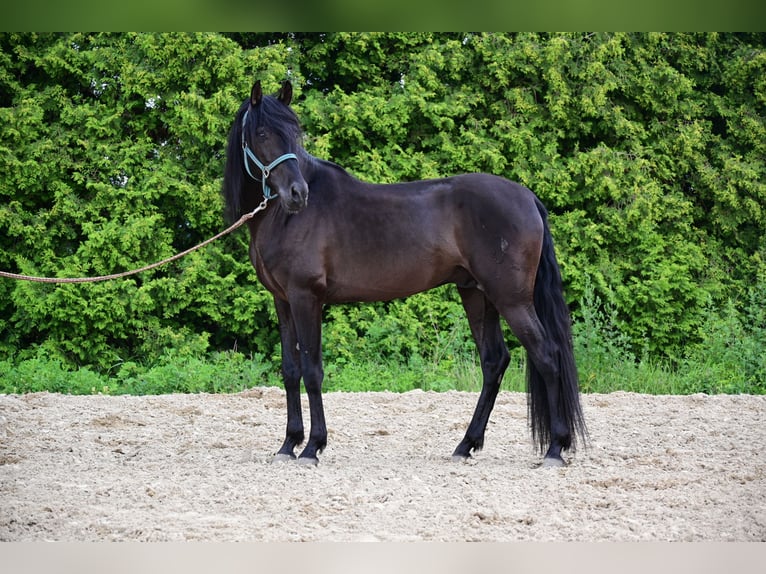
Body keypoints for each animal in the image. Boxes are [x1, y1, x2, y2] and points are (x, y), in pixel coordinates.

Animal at [222, 81, 588, 468]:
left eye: (294, 132)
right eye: (263, 133)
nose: (298, 194)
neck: (283, 218)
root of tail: (528, 197)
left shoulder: (306, 297)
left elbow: (311, 370)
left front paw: (312, 448)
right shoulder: (283, 299)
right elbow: (291, 370)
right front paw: (288, 444)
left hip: (511, 299)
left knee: (546, 355)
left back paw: (555, 449)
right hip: (477, 294)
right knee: (494, 362)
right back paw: (465, 445)